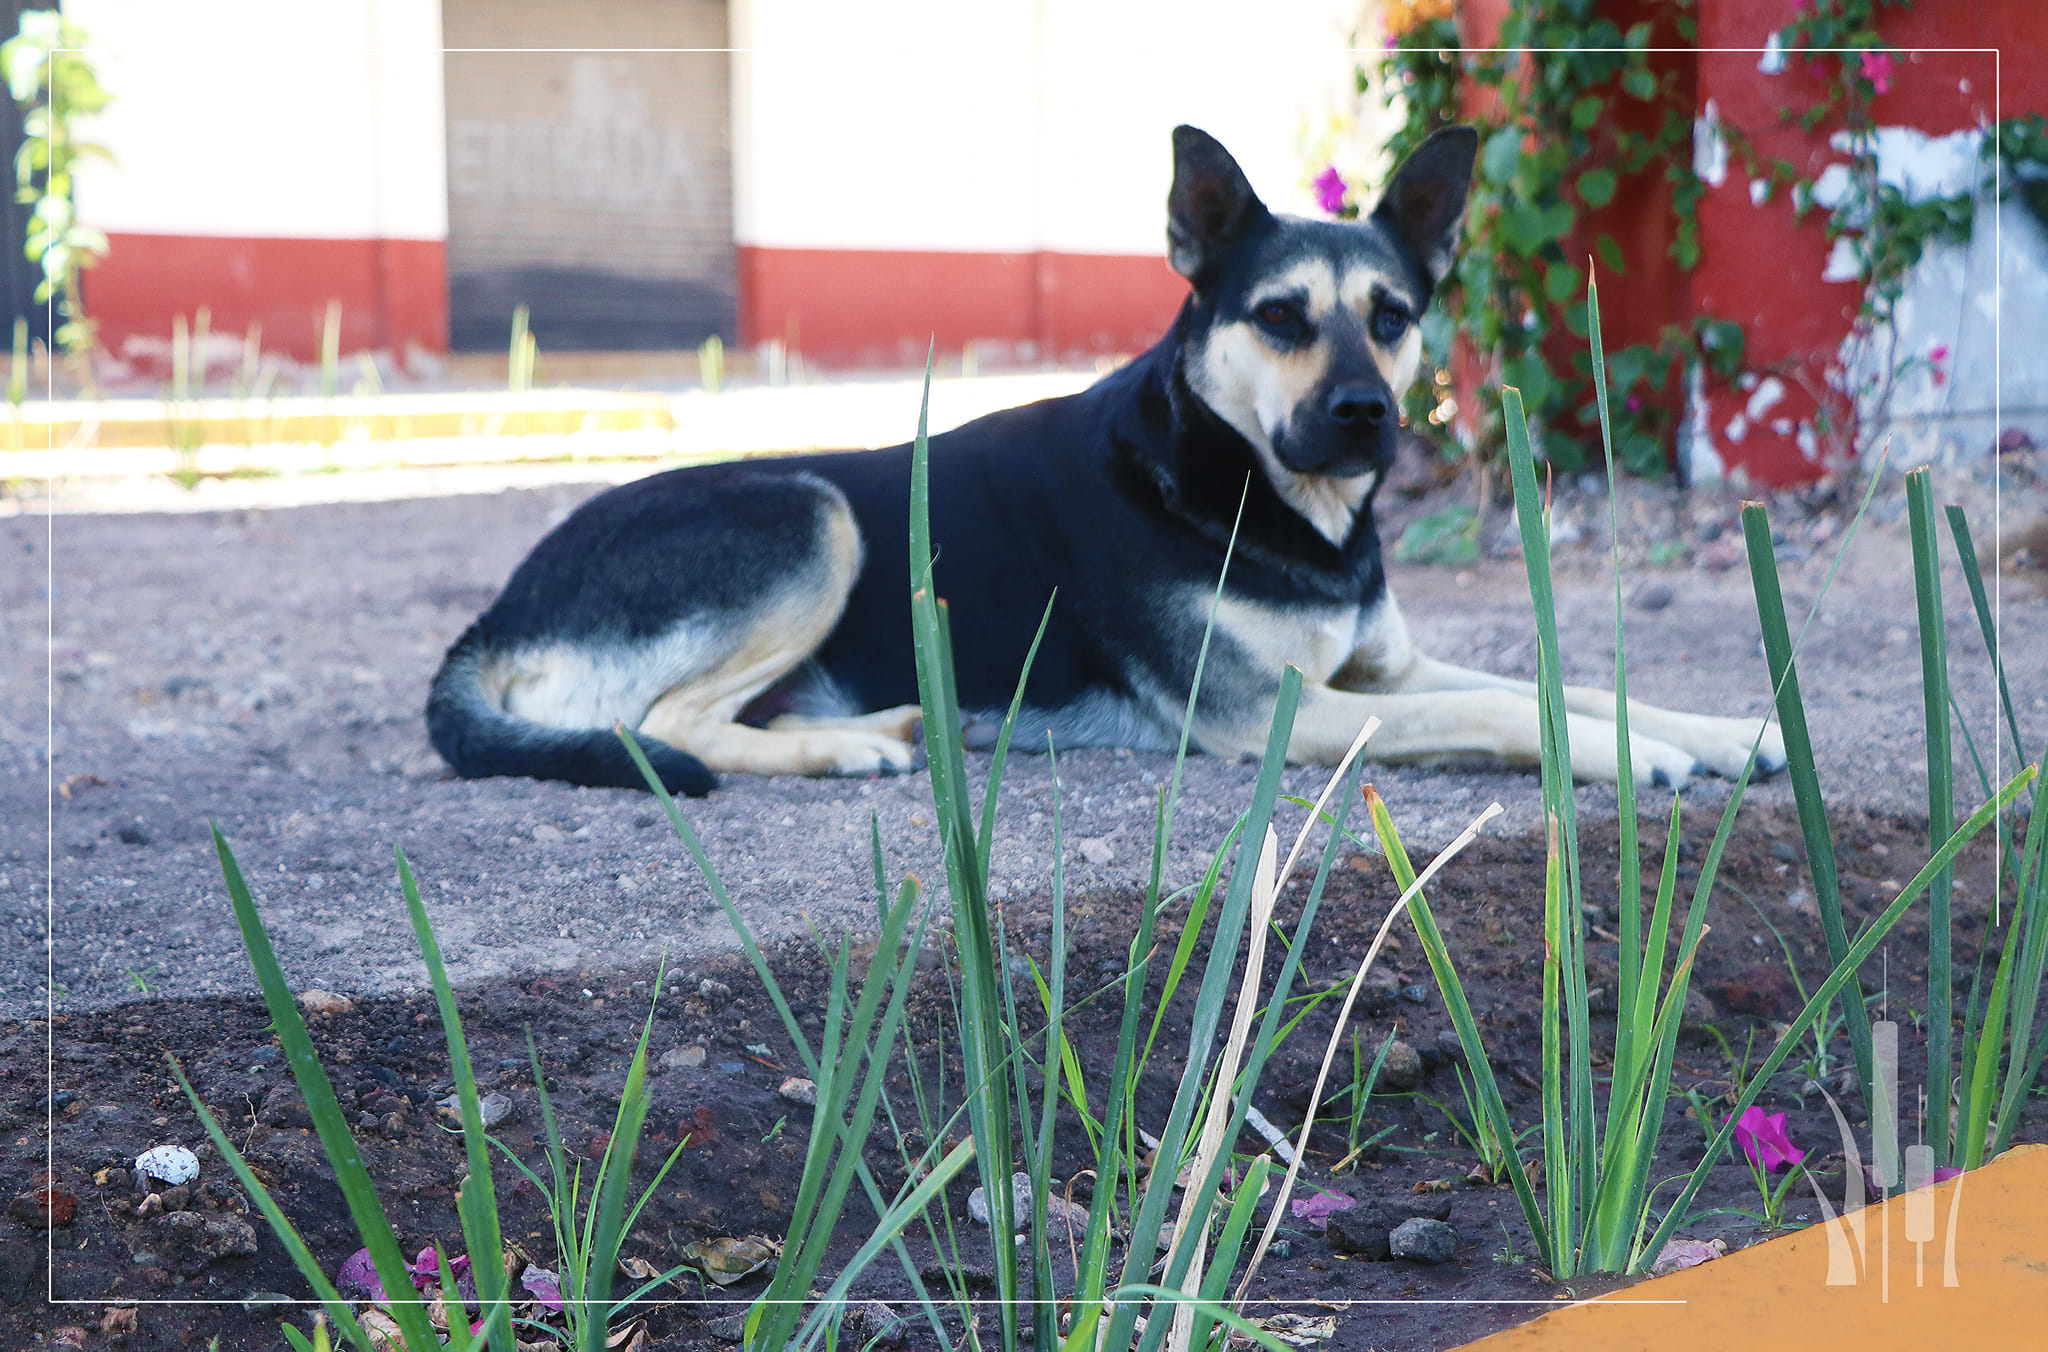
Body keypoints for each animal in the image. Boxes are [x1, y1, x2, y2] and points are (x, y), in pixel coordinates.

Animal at [423, 121, 1785, 798]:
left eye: (1391, 316)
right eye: (1278, 317)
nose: (1362, 413)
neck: (1248, 483)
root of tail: (496, 611)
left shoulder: (1377, 670)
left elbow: (1566, 675)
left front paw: (1719, 728)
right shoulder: (1277, 714)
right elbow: (1510, 702)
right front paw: (1637, 756)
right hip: (812, 514)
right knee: (668, 722)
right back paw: (852, 744)